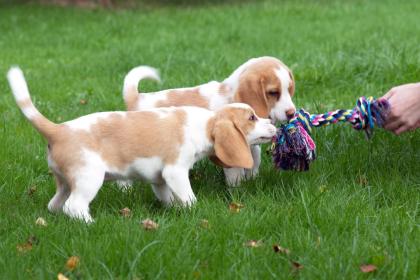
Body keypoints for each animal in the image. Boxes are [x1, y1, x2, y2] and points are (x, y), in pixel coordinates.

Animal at [6, 66, 278, 222]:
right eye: (252, 118)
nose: (273, 125)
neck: (205, 123)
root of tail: (58, 130)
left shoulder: (160, 180)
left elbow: (169, 198)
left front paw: (174, 211)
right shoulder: (176, 171)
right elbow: (189, 197)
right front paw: (194, 211)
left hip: (64, 182)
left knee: (55, 205)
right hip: (88, 179)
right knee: (74, 207)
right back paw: (90, 224)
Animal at [123, 56, 296, 186]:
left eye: (289, 89)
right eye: (273, 92)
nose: (292, 113)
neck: (230, 95)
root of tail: (137, 98)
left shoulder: (250, 145)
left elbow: (254, 160)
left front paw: (252, 180)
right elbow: (235, 173)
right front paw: (238, 190)